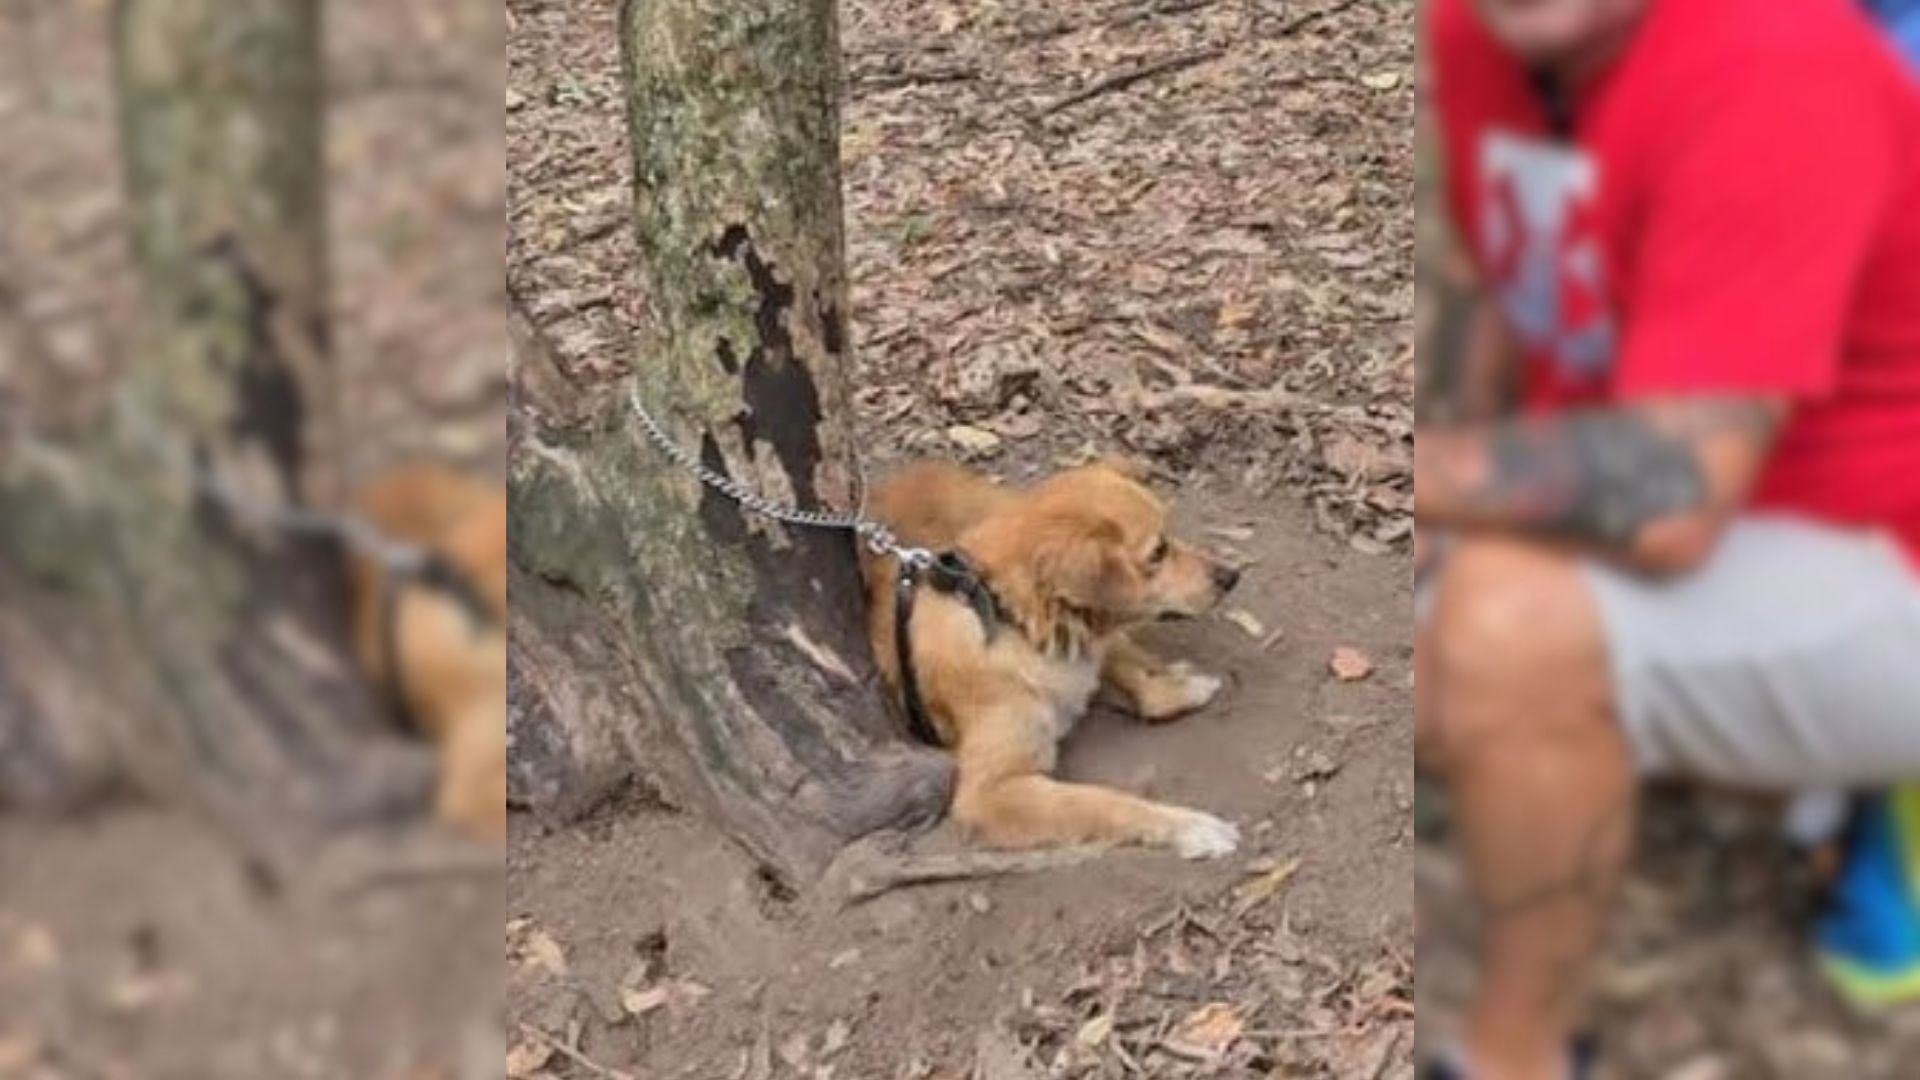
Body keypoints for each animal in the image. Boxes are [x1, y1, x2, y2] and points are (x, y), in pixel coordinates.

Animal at [864, 455, 1251, 857]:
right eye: (1158, 552)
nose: (1231, 576)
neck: (1007, 613)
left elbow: (1126, 670)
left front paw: (1174, 687)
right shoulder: (989, 793)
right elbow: (1099, 801)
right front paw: (1187, 825)